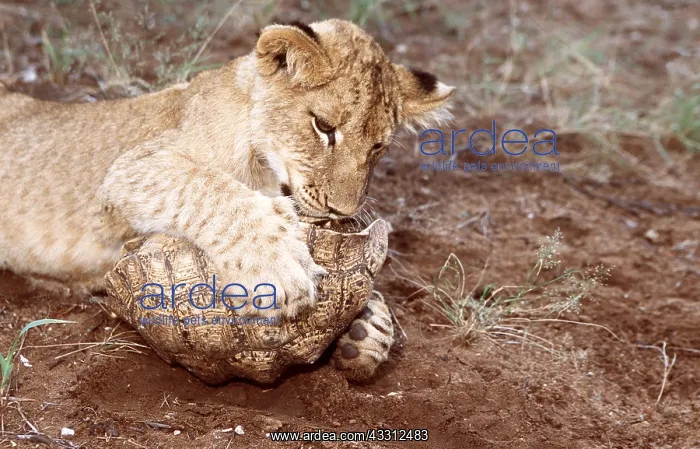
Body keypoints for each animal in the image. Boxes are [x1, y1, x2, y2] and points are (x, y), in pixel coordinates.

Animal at [0, 19, 454, 379]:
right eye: (324, 127)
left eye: (378, 147)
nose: (343, 210)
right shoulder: (126, 173)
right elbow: (208, 187)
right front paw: (278, 265)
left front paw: (368, 332)